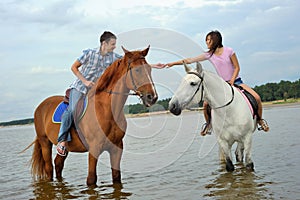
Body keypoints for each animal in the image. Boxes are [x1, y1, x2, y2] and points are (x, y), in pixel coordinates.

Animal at [29, 45, 158, 186]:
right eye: (137, 70)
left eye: (150, 69)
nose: (152, 97)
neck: (106, 110)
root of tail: (40, 107)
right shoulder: (94, 149)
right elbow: (91, 179)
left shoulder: (117, 148)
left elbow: (116, 176)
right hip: (45, 142)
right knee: (49, 167)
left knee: (58, 164)